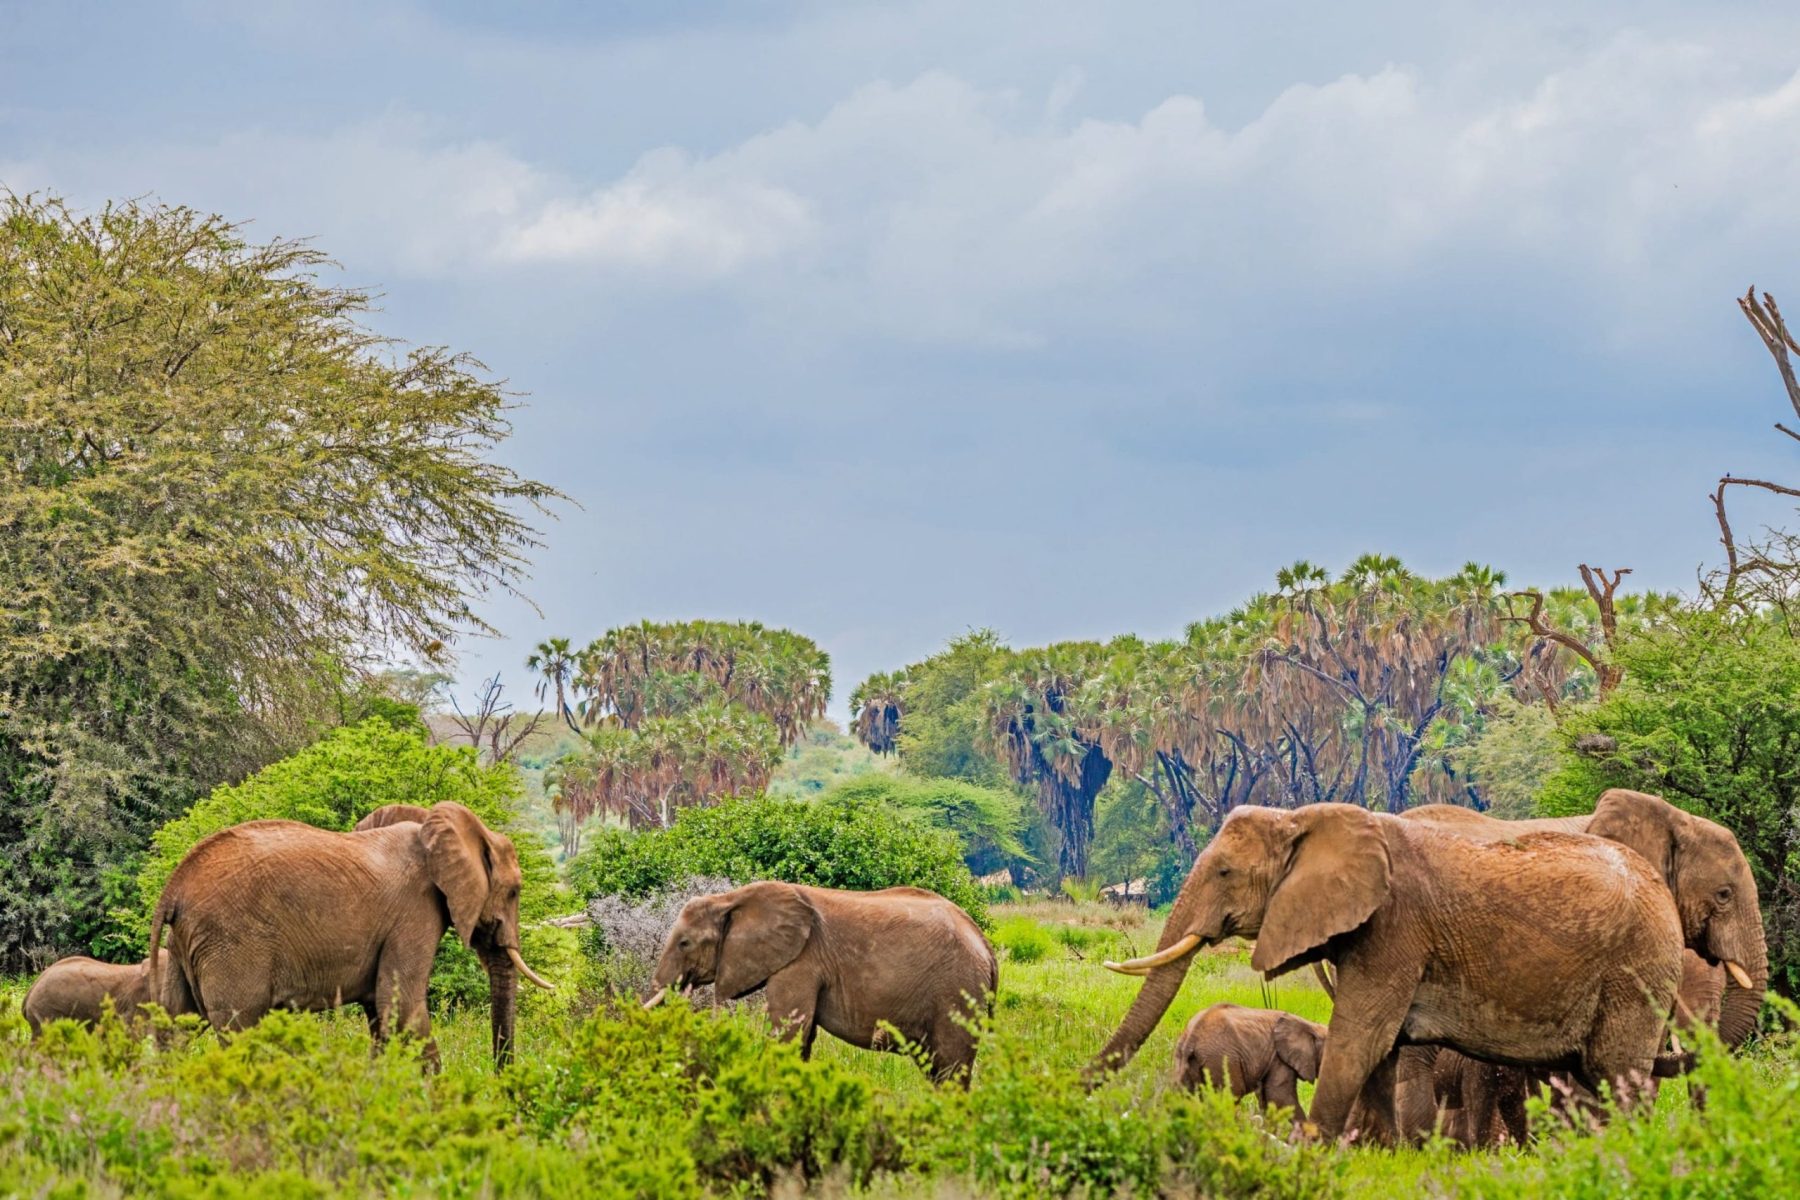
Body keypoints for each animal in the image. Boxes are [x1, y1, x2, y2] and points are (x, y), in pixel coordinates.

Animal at [148, 800, 552, 1067]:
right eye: (514, 891)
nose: (502, 1083)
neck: (431, 825)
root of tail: (173, 887)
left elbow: (380, 1014)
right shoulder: (415, 912)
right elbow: (401, 1008)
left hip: (186, 945)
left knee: (177, 1027)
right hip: (231, 942)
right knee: (239, 1029)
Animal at [645, 881, 997, 1085]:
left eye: (684, 944)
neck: (730, 898)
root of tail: (985, 944)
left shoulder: (801, 961)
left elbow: (788, 1033)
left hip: (957, 990)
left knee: (950, 1068)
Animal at [1092, 803, 1685, 1141]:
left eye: (1224, 872)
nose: (1079, 1089)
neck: (1305, 819)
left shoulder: (1396, 930)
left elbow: (1361, 1039)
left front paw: (1312, 1152)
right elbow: (1382, 1049)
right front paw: (1379, 1154)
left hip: (1637, 972)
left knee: (1619, 1076)